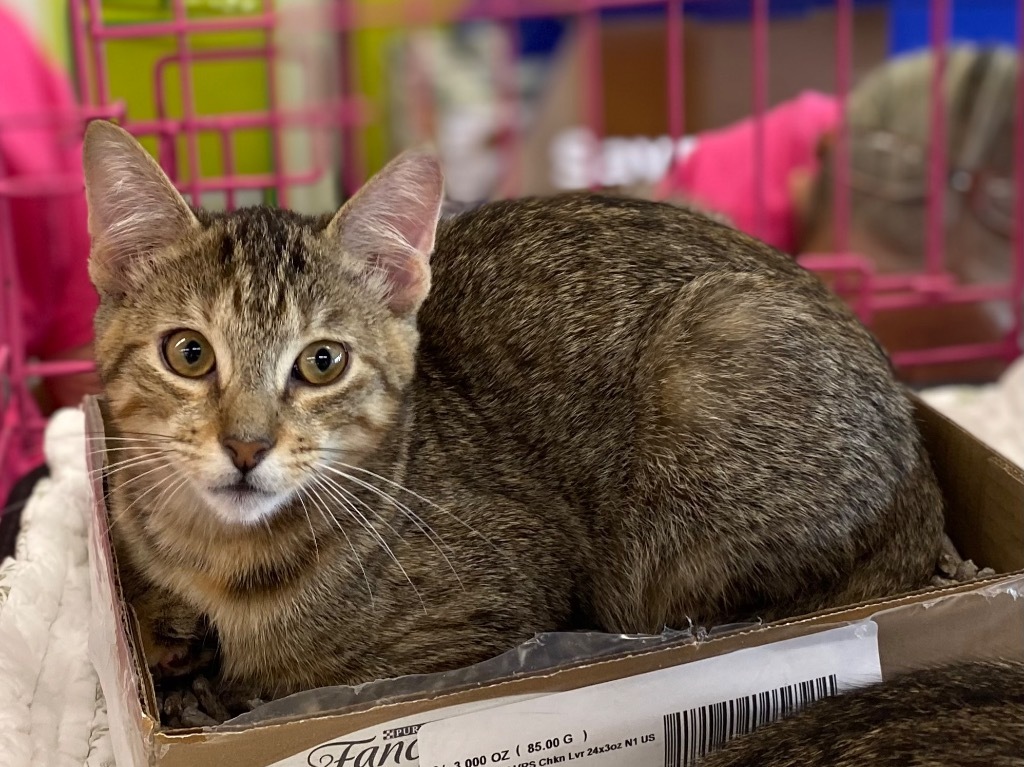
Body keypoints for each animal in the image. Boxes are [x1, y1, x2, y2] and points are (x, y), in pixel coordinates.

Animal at [81, 119, 942, 700]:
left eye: (322, 362)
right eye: (189, 353)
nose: (247, 446)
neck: (218, 558)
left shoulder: (493, 617)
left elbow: (302, 674)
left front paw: (225, 681)